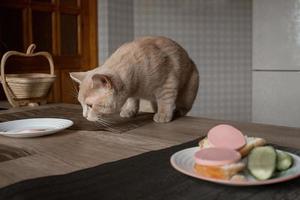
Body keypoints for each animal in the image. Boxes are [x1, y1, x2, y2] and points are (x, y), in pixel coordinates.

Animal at [70, 36, 199, 122]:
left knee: (183, 107)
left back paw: (176, 111)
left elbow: (165, 101)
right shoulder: (132, 91)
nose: (84, 116)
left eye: (90, 105)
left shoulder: (167, 84)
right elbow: (132, 100)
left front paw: (163, 115)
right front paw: (129, 111)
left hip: (188, 93)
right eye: (81, 104)